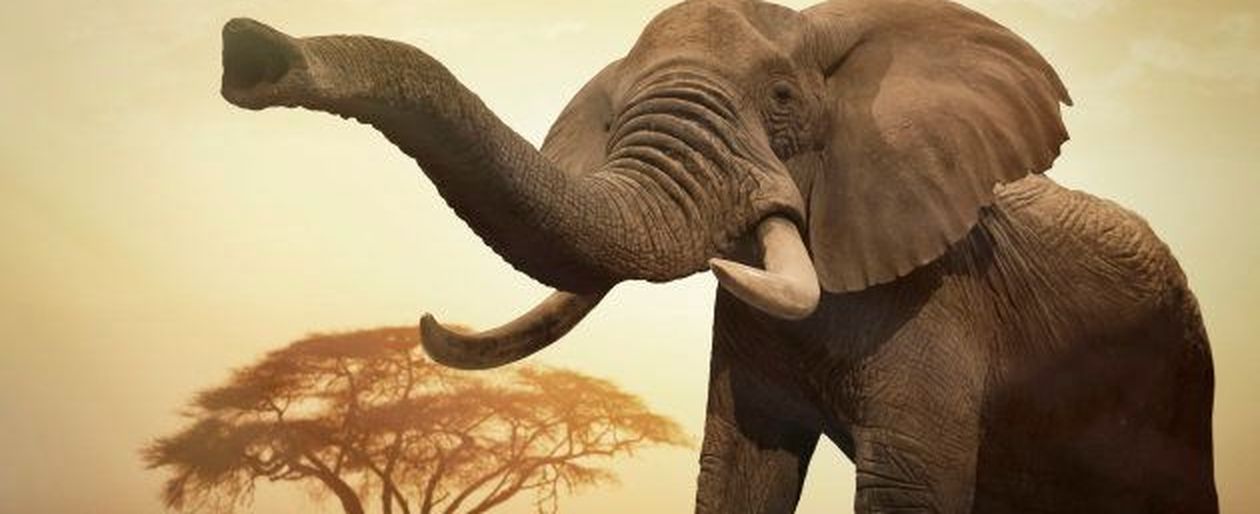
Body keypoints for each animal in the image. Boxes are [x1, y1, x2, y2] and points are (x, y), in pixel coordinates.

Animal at [218, 0, 1217, 512]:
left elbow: (906, 484)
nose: (248, 51)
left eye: (781, 99)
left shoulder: (943, 304)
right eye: (616, 117)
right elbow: (738, 469)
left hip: (1181, 371)